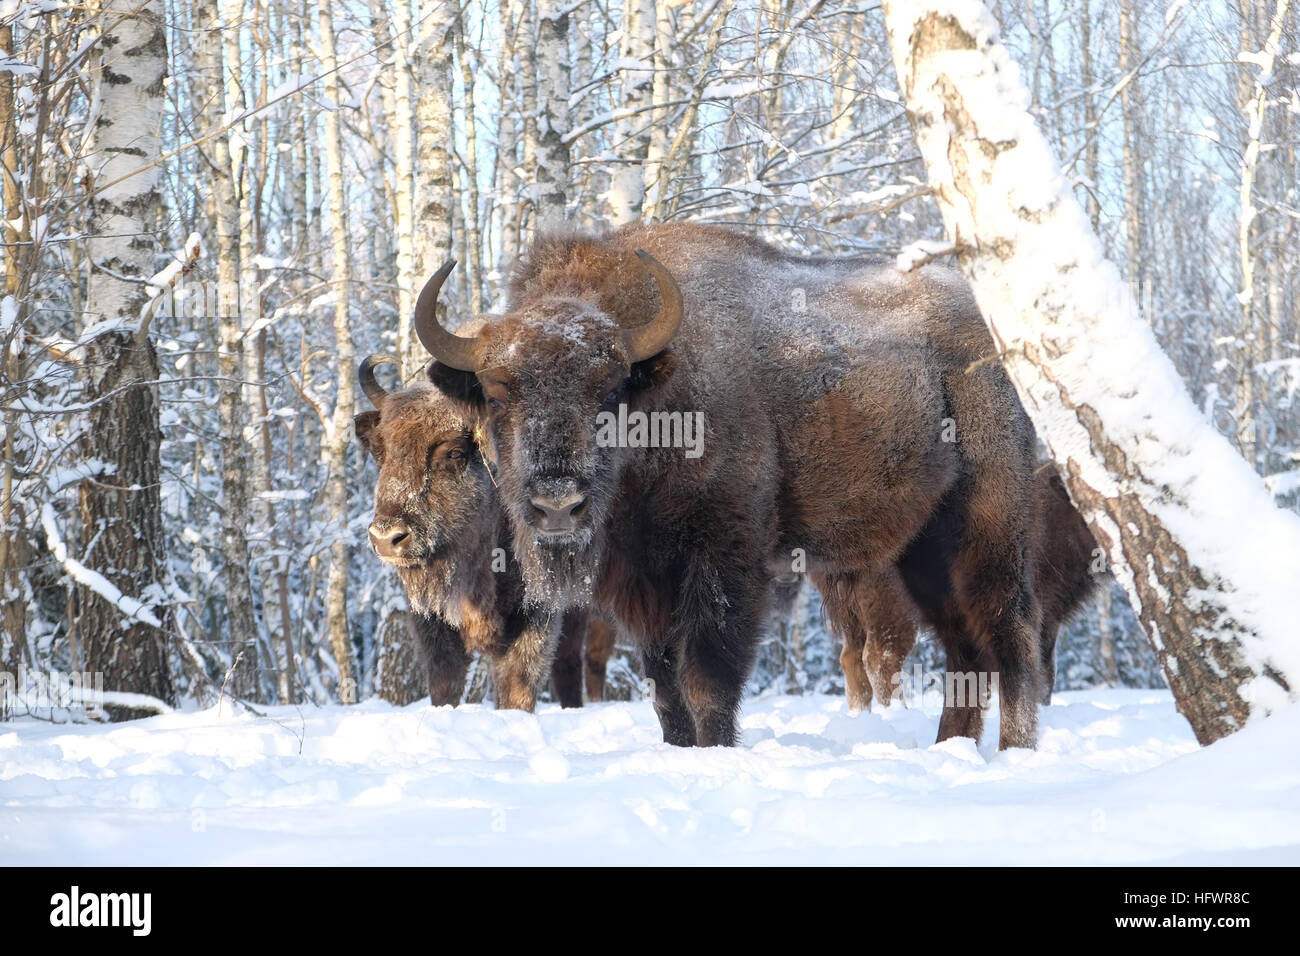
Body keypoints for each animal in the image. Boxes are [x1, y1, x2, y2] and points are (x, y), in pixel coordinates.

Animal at [353, 353, 611, 712]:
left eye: (455, 452)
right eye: (380, 451)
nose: (386, 538)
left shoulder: (537, 616)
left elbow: (518, 687)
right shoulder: (434, 624)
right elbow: (445, 685)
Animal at [418, 222, 1055, 749]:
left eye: (610, 389)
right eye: (496, 393)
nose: (557, 503)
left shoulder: (724, 561)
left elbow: (707, 678)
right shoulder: (643, 584)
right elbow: (665, 690)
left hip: (985, 526)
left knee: (1011, 633)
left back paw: (1012, 752)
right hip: (917, 550)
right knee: (964, 645)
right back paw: (951, 748)